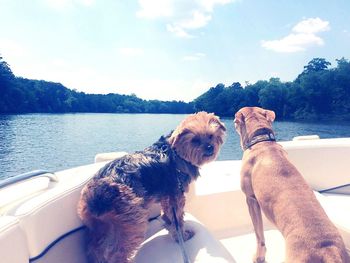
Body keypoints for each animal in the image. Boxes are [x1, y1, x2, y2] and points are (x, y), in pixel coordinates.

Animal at [77, 112, 226, 263]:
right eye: (195, 140)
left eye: (211, 136)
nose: (209, 147)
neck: (176, 152)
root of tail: (97, 194)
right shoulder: (176, 194)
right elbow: (178, 218)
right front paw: (182, 236)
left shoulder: (168, 195)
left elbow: (169, 213)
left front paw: (167, 221)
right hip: (134, 219)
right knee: (118, 253)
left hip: (97, 223)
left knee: (94, 246)